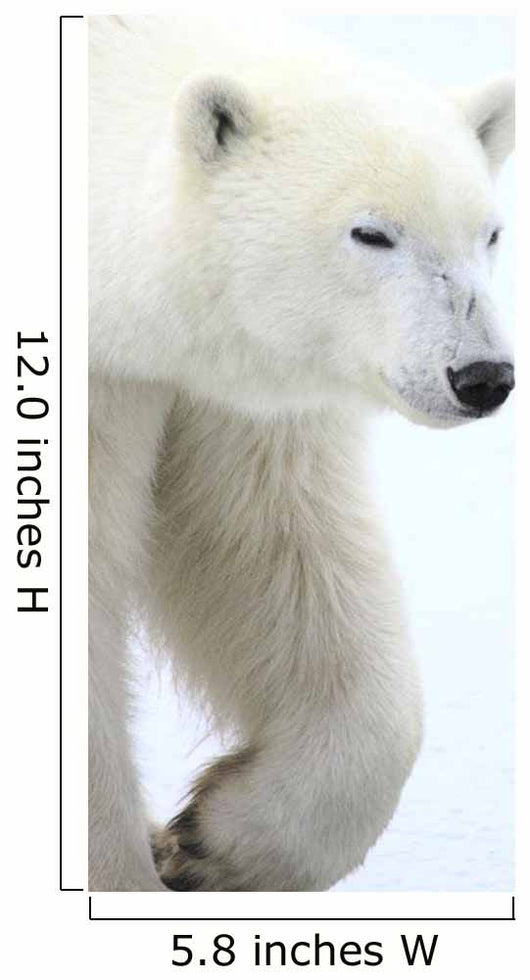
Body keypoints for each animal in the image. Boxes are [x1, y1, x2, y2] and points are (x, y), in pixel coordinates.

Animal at [89, 15, 514, 891]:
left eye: (490, 231)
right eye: (371, 232)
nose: (482, 374)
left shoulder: (222, 388)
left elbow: (274, 552)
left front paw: (213, 842)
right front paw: (120, 871)